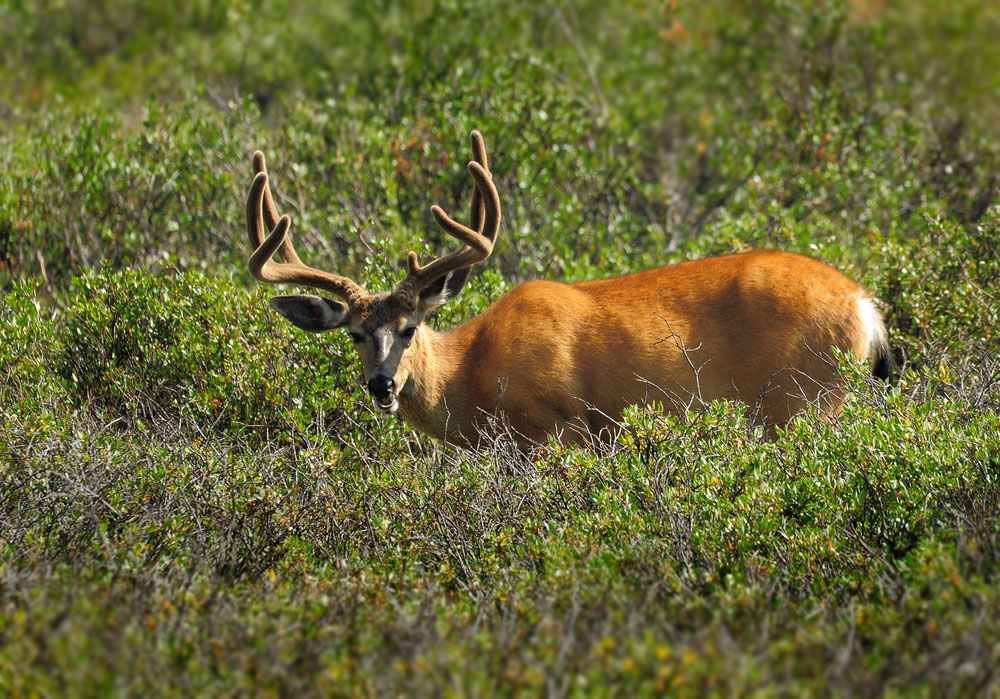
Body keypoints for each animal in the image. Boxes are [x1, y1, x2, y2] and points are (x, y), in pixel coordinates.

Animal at [244, 130, 890, 448]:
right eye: (355, 334)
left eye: (409, 328)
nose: (382, 385)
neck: (473, 376)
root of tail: (866, 306)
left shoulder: (555, 428)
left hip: (806, 400)